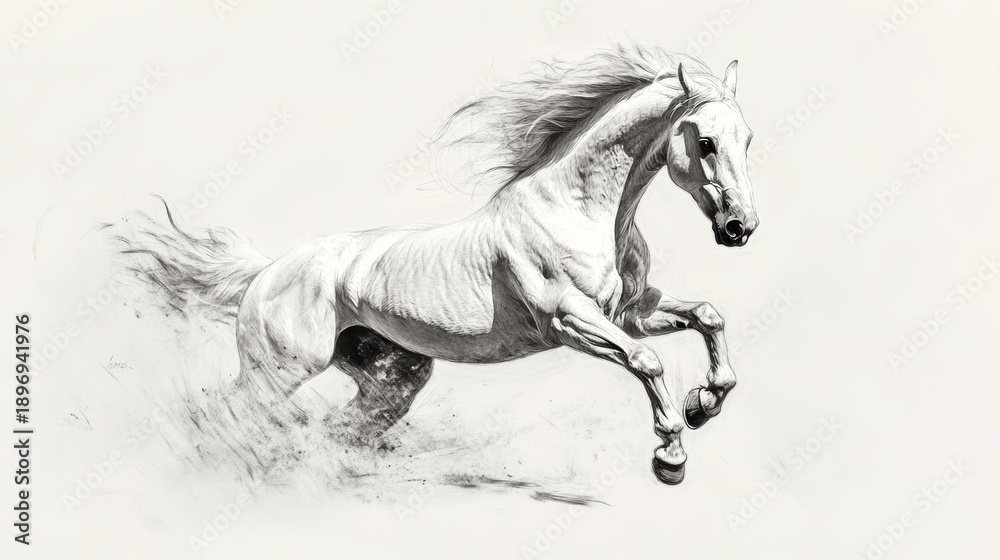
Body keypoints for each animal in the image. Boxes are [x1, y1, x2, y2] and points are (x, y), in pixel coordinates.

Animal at [119, 44, 758, 485]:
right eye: (704, 142)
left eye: (747, 139)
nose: (740, 229)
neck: (580, 211)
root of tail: (266, 272)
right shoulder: (571, 321)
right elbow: (648, 362)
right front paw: (671, 453)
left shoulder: (629, 313)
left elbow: (709, 315)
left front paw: (705, 403)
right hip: (280, 368)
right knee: (230, 412)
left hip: (394, 372)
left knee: (346, 424)